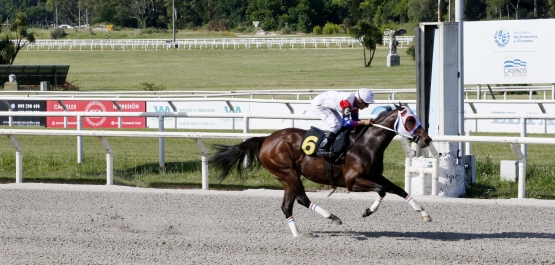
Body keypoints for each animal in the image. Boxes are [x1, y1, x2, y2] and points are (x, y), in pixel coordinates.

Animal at [211, 102, 432, 235]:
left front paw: (424, 213)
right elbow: (382, 190)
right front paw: (368, 211)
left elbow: (398, 190)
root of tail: (266, 139)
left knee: (287, 206)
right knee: (302, 199)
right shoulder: (352, 182)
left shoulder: (375, 174)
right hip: (288, 172)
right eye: (410, 119)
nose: (427, 139)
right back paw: (332, 217)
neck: (366, 144)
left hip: (286, 177)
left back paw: (297, 234)